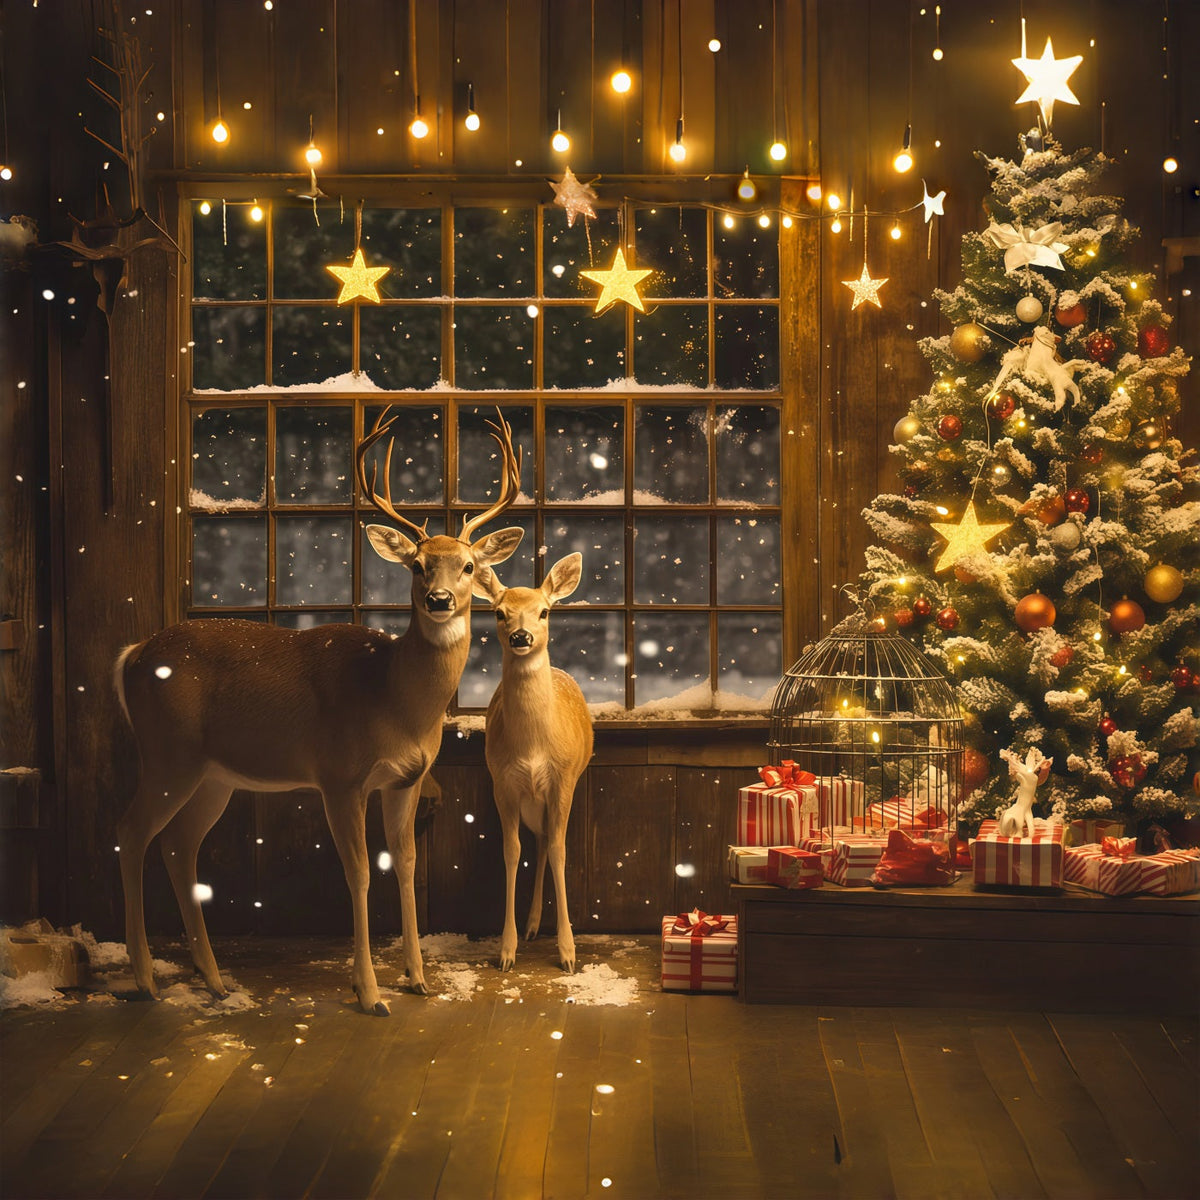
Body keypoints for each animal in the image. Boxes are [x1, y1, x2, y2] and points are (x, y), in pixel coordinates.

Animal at [113, 409, 523, 1014]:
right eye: (418, 565)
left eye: (469, 565)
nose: (440, 600)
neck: (395, 699)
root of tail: (133, 654)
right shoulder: (339, 776)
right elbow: (359, 873)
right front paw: (369, 992)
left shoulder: (405, 779)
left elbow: (406, 865)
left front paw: (417, 978)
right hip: (169, 754)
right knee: (132, 832)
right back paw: (145, 979)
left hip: (214, 775)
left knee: (177, 844)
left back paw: (214, 980)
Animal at [478, 552, 594, 975]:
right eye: (499, 612)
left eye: (544, 611)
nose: (521, 637)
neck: (532, 748)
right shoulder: (501, 782)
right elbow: (511, 851)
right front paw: (506, 951)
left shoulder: (564, 778)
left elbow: (561, 850)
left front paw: (569, 953)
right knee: (539, 839)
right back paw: (528, 927)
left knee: (548, 840)